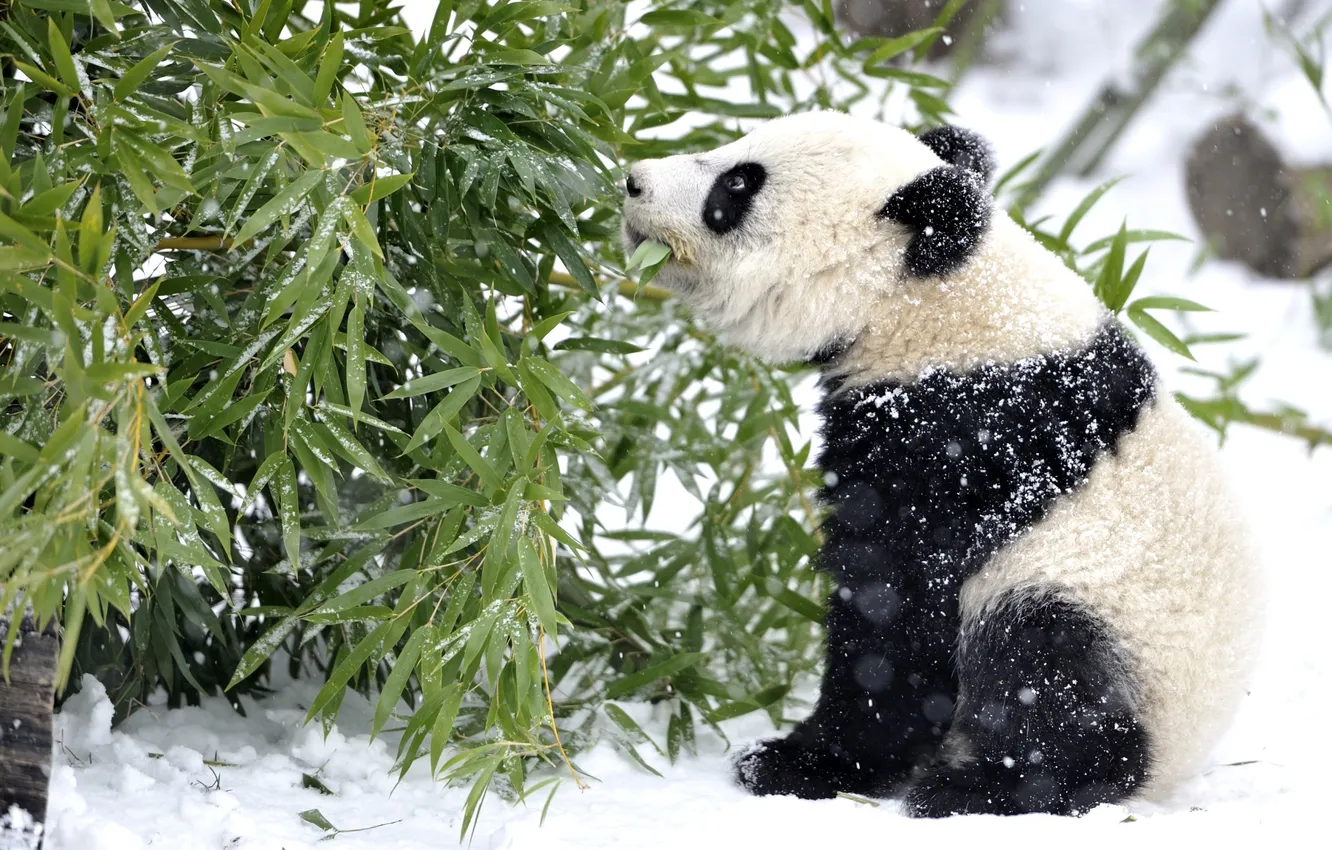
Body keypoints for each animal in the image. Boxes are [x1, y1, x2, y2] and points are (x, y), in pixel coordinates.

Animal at [619, 111, 1262, 817]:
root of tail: (1173, 770)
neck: (941, 303)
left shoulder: (956, 443)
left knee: (1042, 665)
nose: (632, 181)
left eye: (737, 186)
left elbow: (895, 610)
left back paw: (983, 786)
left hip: (1111, 619)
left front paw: (798, 762)